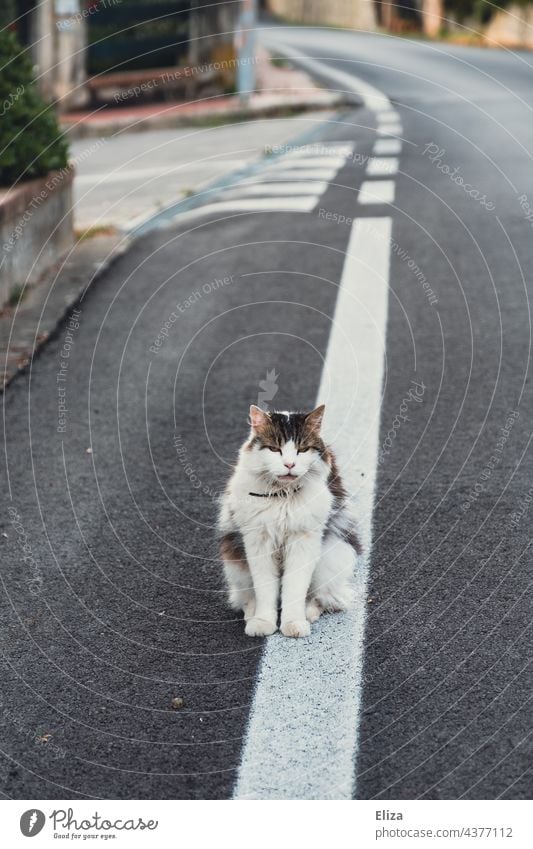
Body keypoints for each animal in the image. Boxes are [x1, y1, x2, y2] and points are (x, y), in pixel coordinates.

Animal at [217, 404, 362, 636]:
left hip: (333, 557)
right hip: (235, 565)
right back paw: (252, 614)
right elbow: (265, 589)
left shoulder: (303, 540)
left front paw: (293, 624)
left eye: (302, 450)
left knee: (322, 597)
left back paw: (308, 614)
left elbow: (294, 588)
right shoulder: (259, 540)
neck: (282, 494)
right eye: (275, 449)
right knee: (246, 597)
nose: (289, 464)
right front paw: (262, 623)